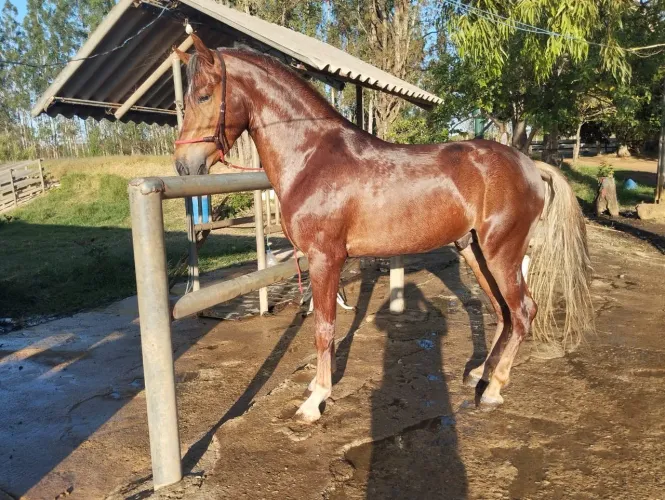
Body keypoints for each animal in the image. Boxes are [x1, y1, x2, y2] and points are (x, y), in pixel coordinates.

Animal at [173, 35, 594, 423]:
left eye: (205, 96)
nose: (183, 165)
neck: (312, 157)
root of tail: (530, 165)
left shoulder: (326, 258)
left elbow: (325, 328)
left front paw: (315, 399)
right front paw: (316, 387)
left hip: (502, 253)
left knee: (522, 311)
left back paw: (493, 390)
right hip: (475, 252)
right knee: (502, 311)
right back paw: (480, 373)